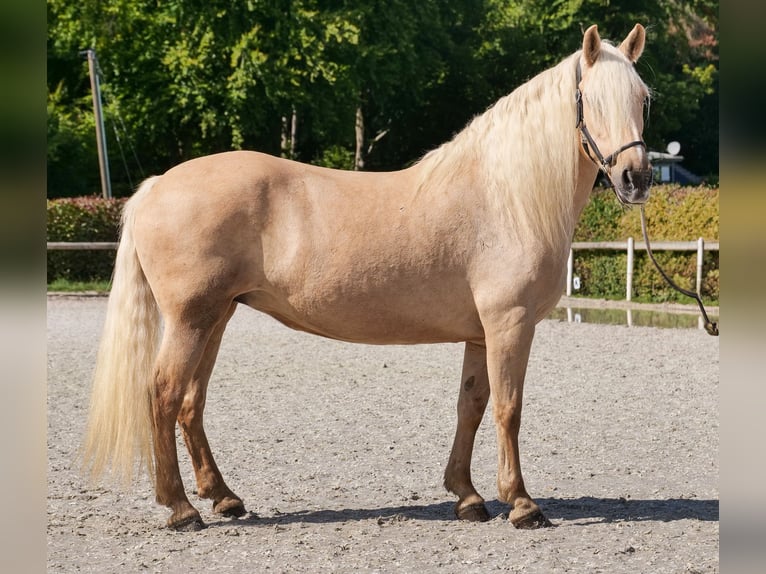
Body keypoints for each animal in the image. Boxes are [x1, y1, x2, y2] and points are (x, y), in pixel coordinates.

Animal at [82, 24, 652, 531]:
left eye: (643, 99)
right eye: (591, 99)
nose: (637, 178)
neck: (505, 197)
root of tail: (156, 185)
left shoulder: (480, 332)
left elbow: (471, 406)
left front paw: (467, 497)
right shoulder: (509, 324)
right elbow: (508, 409)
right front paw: (522, 504)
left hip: (215, 318)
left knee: (190, 402)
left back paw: (223, 497)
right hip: (191, 319)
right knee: (162, 394)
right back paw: (181, 509)